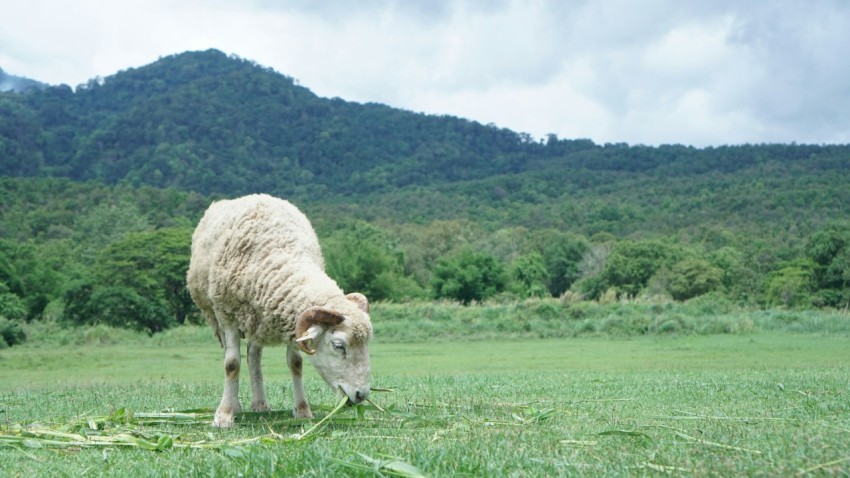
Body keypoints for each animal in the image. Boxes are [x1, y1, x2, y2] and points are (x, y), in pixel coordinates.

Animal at [186, 194, 372, 430]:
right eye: (339, 345)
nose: (361, 395)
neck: (279, 253)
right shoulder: (226, 314)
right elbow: (232, 364)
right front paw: (224, 415)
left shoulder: (292, 321)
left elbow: (296, 364)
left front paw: (302, 410)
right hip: (217, 315)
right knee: (235, 355)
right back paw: (237, 405)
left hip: (255, 321)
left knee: (253, 356)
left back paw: (260, 403)